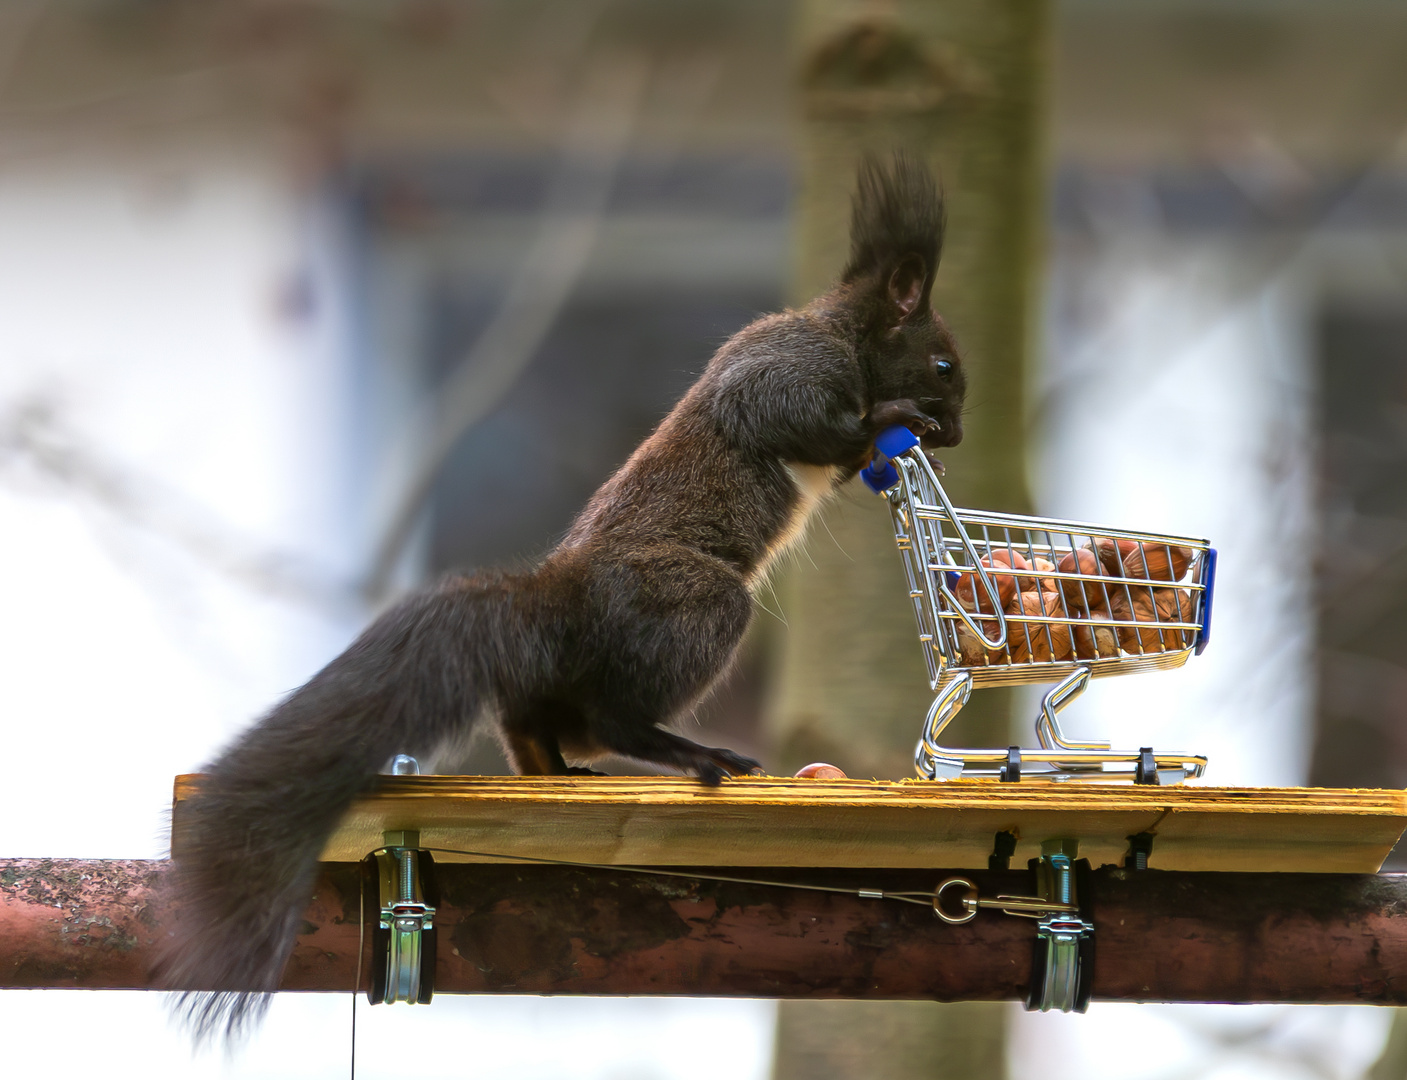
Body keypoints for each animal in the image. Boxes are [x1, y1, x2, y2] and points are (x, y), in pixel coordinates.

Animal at [156, 149, 968, 1035]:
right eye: (942, 365)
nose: (959, 433)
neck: (843, 336)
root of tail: (555, 605)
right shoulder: (785, 368)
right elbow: (799, 418)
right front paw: (890, 419)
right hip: (692, 607)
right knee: (615, 716)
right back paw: (691, 754)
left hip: (559, 687)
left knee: (537, 726)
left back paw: (562, 769)